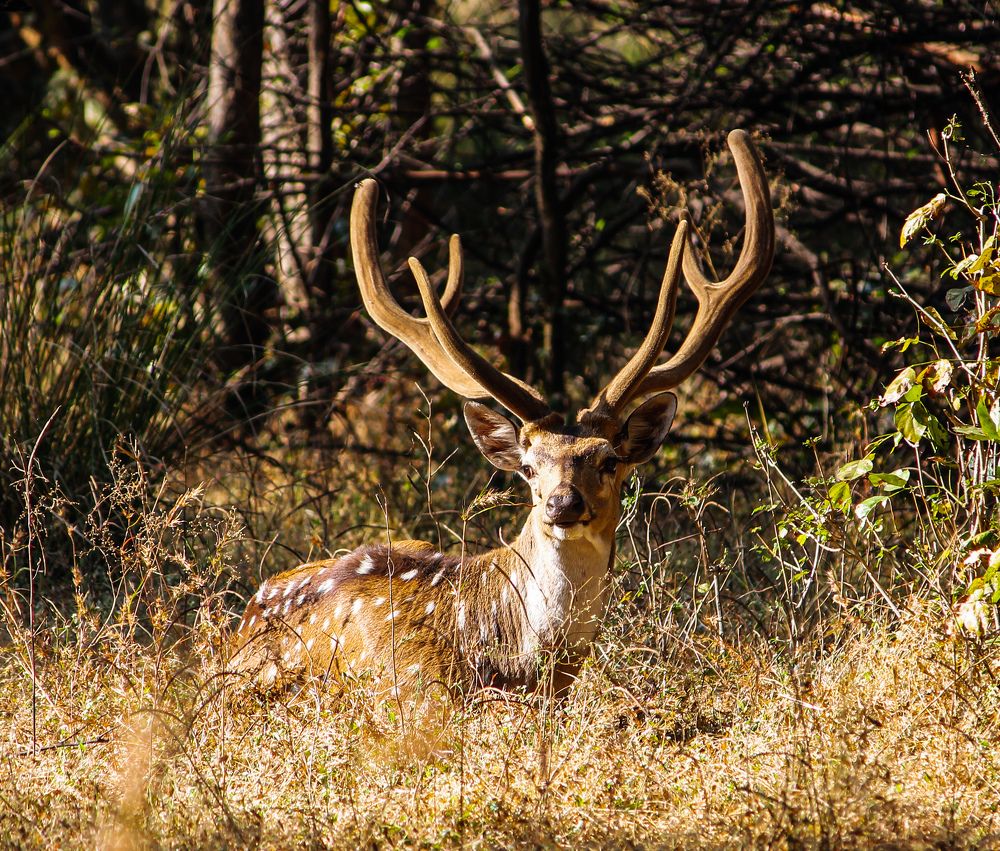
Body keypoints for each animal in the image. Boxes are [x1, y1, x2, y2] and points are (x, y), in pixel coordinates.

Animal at [230, 129, 774, 699]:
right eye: (529, 467)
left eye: (609, 460)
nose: (561, 502)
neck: (518, 663)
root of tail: (241, 619)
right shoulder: (416, 690)